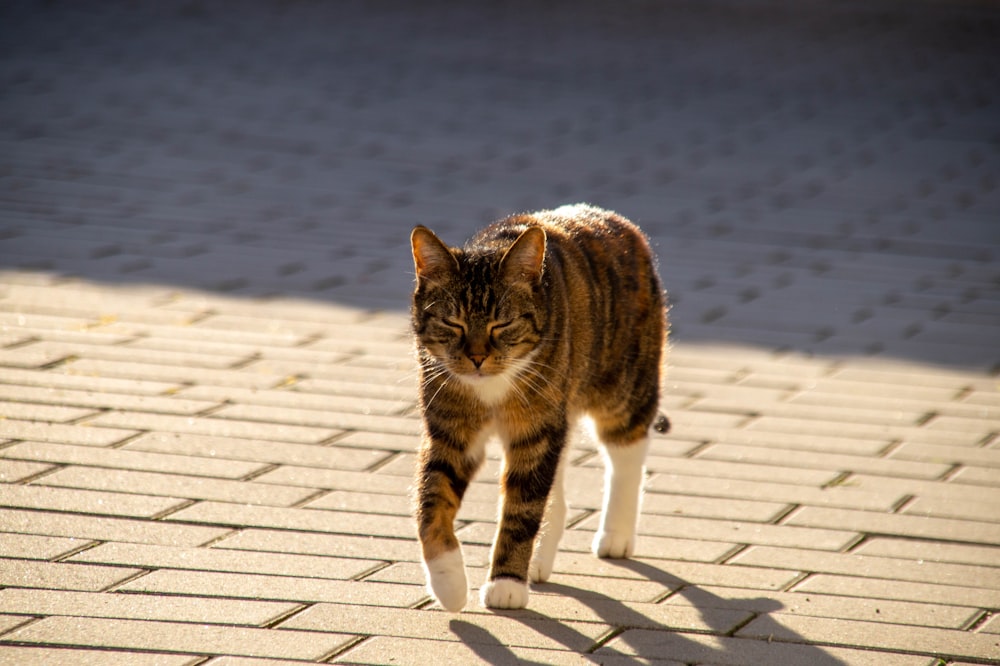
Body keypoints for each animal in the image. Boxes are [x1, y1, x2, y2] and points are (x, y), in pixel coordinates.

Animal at [410, 201, 668, 608]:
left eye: (502, 324)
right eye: (453, 324)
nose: (477, 358)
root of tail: (613, 218)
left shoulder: (536, 429)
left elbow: (523, 507)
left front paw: (506, 583)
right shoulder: (449, 430)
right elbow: (432, 500)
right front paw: (448, 582)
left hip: (622, 385)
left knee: (626, 453)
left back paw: (616, 535)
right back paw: (538, 558)